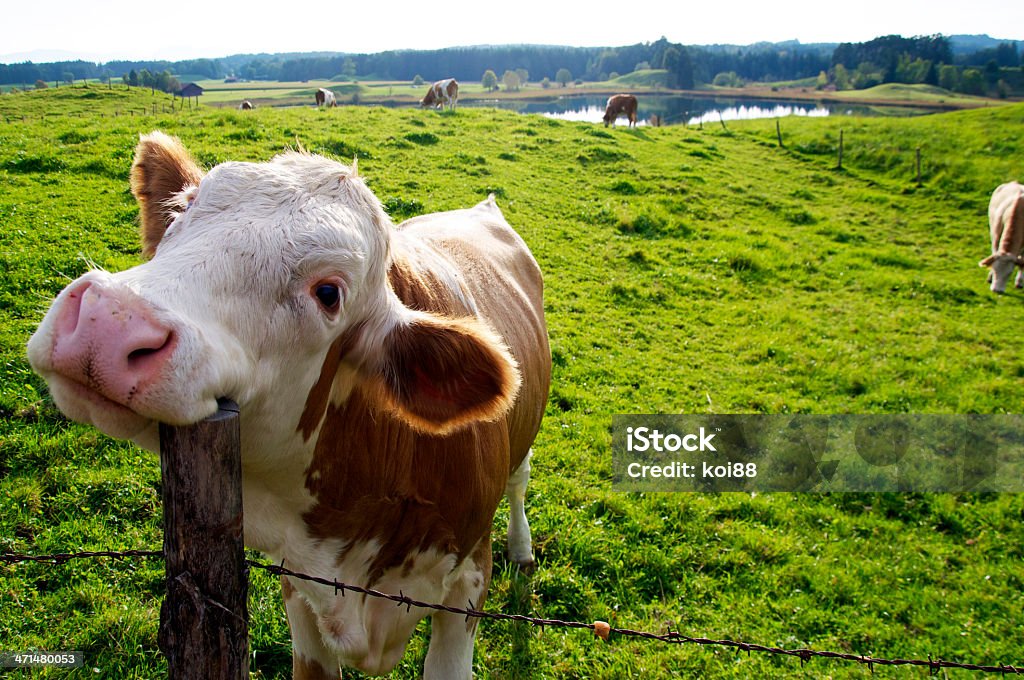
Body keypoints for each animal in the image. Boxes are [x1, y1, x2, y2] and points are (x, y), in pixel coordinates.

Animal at [25, 130, 552, 675]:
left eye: (329, 293)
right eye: (183, 211)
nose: (107, 320)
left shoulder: (467, 585)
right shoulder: (300, 587)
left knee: (520, 479)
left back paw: (522, 547)